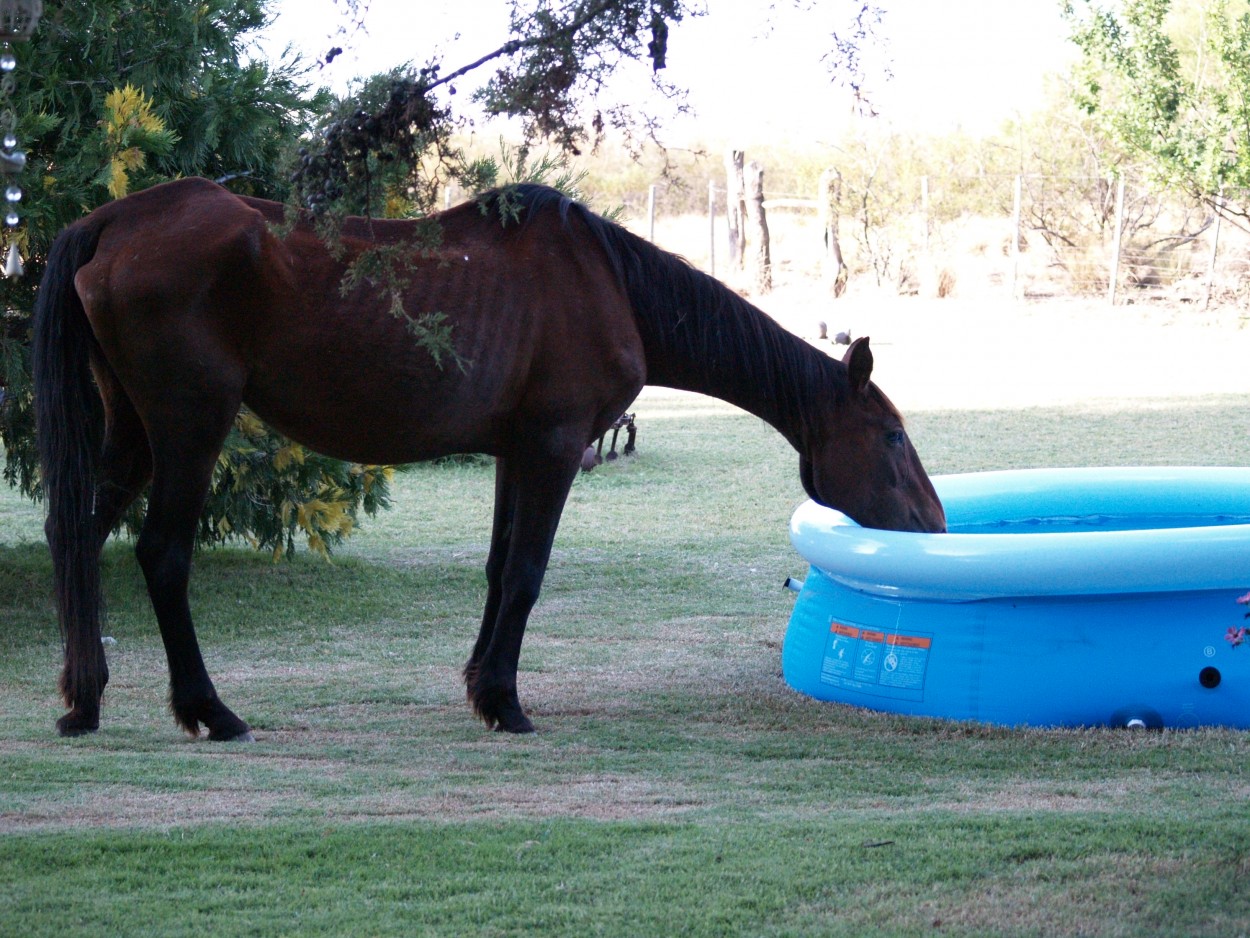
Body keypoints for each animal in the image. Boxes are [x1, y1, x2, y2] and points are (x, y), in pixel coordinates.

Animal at [34, 177, 940, 740]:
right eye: (892, 437)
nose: (934, 523)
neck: (612, 285)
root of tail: (114, 220)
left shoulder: (515, 451)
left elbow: (501, 570)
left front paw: (481, 687)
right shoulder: (554, 446)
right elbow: (528, 575)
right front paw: (505, 702)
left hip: (132, 432)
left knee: (74, 536)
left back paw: (85, 700)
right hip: (189, 428)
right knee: (161, 555)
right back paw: (208, 711)